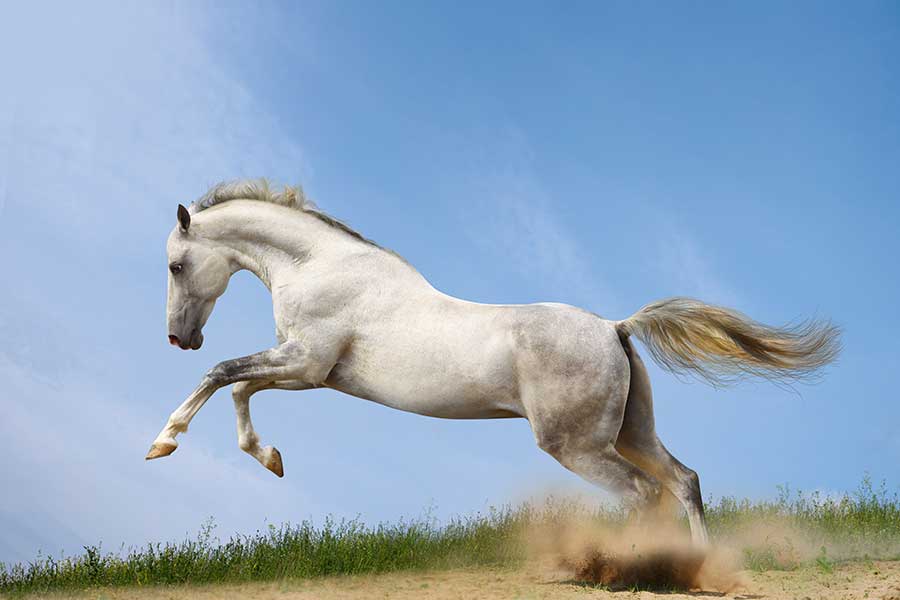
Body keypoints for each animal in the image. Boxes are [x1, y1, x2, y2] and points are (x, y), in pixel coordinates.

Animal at [147, 179, 840, 545]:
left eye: (176, 265)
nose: (180, 338)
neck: (320, 268)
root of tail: (615, 328)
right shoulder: (307, 373)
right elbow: (240, 389)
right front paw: (270, 458)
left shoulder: (306, 363)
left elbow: (223, 376)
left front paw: (163, 444)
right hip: (630, 433)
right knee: (684, 482)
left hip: (577, 445)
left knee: (645, 494)